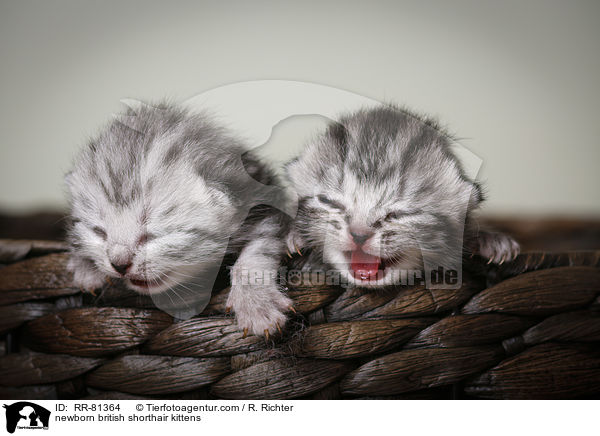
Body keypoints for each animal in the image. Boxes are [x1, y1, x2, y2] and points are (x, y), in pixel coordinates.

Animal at [65, 103, 290, 338]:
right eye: (99, 232)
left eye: (152, 236)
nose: (119, 264)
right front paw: (86, 267)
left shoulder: (263, 203)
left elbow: (256, 252)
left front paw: (256, 305)